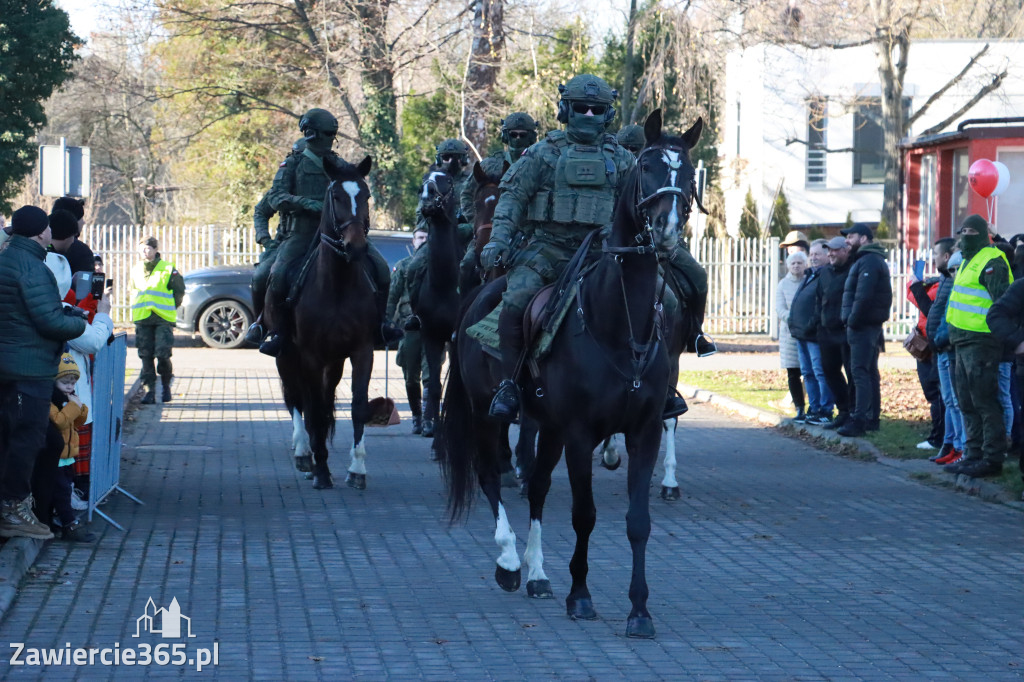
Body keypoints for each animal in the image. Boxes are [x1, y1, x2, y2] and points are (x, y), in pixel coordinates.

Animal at [270, 153, 382, 489]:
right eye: (336, 197)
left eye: (366, 195)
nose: (356, 246)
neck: (338, 286)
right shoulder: (309, 355)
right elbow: (314, 409)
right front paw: (321, 470)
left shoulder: (361, 351)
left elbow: (358, 406)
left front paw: (357, 469)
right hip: (286, 355)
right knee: (298, 400)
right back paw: (305, 454)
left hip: (334, 361)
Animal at [436, 109, 700, 634]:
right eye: (647, 167)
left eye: (689, 174)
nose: (666, 228)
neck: (617, 322)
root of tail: (479, 293)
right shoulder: (580, 433)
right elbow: (584, 514)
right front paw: (581, 596)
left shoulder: (642, 431)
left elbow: (637, 521)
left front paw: (639, 610)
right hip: (484, 411)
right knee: (489, 476)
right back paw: (509, 563)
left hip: (549, 425)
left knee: (537, 487)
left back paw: (538, 574)